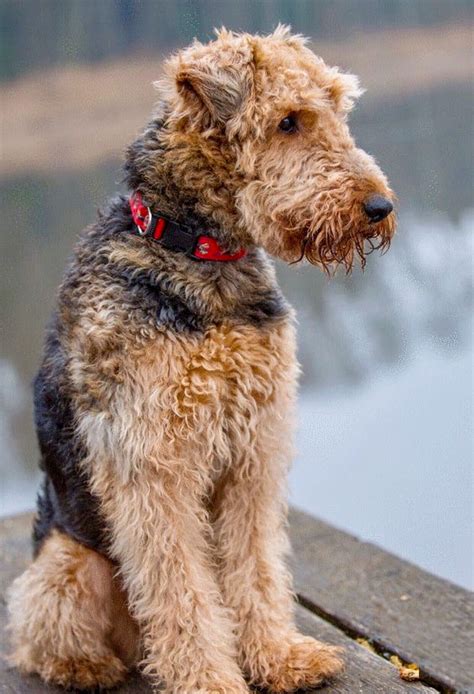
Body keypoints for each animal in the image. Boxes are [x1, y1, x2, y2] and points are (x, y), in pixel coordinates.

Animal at [6, 24, 396, 692]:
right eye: (288, 121)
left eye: (338, 109)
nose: (379, 208)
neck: (205, 257)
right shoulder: (152, 467)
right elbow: (180, 590)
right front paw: (211, 679)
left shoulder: (253, 451)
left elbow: (256, 568)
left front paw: (279, 656)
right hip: (69, 561)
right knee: (39, 630)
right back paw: (88, 665)